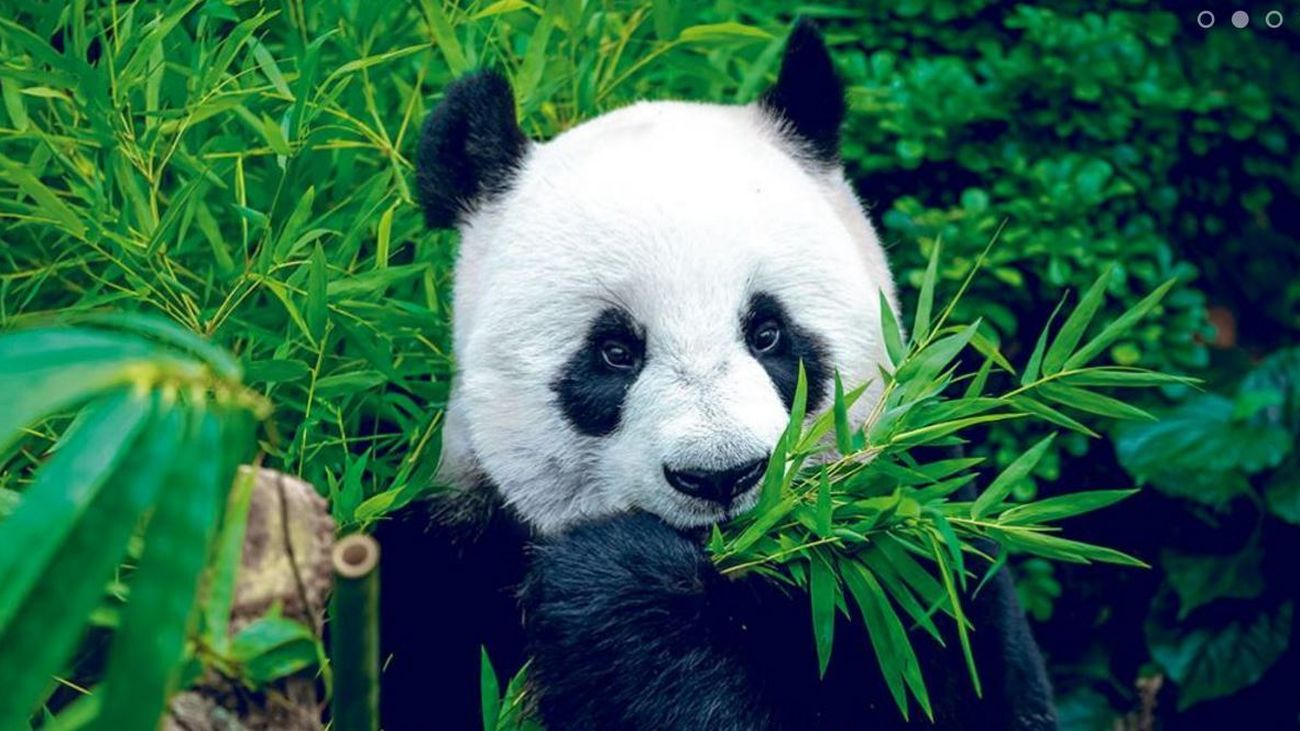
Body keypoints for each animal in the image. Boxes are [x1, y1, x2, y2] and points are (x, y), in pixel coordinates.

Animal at [377, 20, 1058, 731]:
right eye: (614, 352)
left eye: (768, 333)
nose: (720, 475)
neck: (729, 566)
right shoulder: (445, 563)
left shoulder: (913, 563)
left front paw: (615, 585)